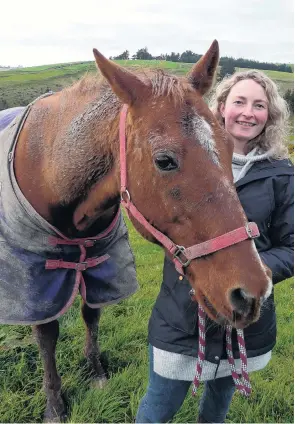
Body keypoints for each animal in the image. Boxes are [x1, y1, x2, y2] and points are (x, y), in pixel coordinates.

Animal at [0, 40, 272, 420]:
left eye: (230, 146)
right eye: (164, 160)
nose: (251, 293)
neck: (50, 168)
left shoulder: (100, 263)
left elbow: (91, 312)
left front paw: (95, 371)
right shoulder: (36, 279)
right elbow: (47, 333)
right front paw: (54, 403)